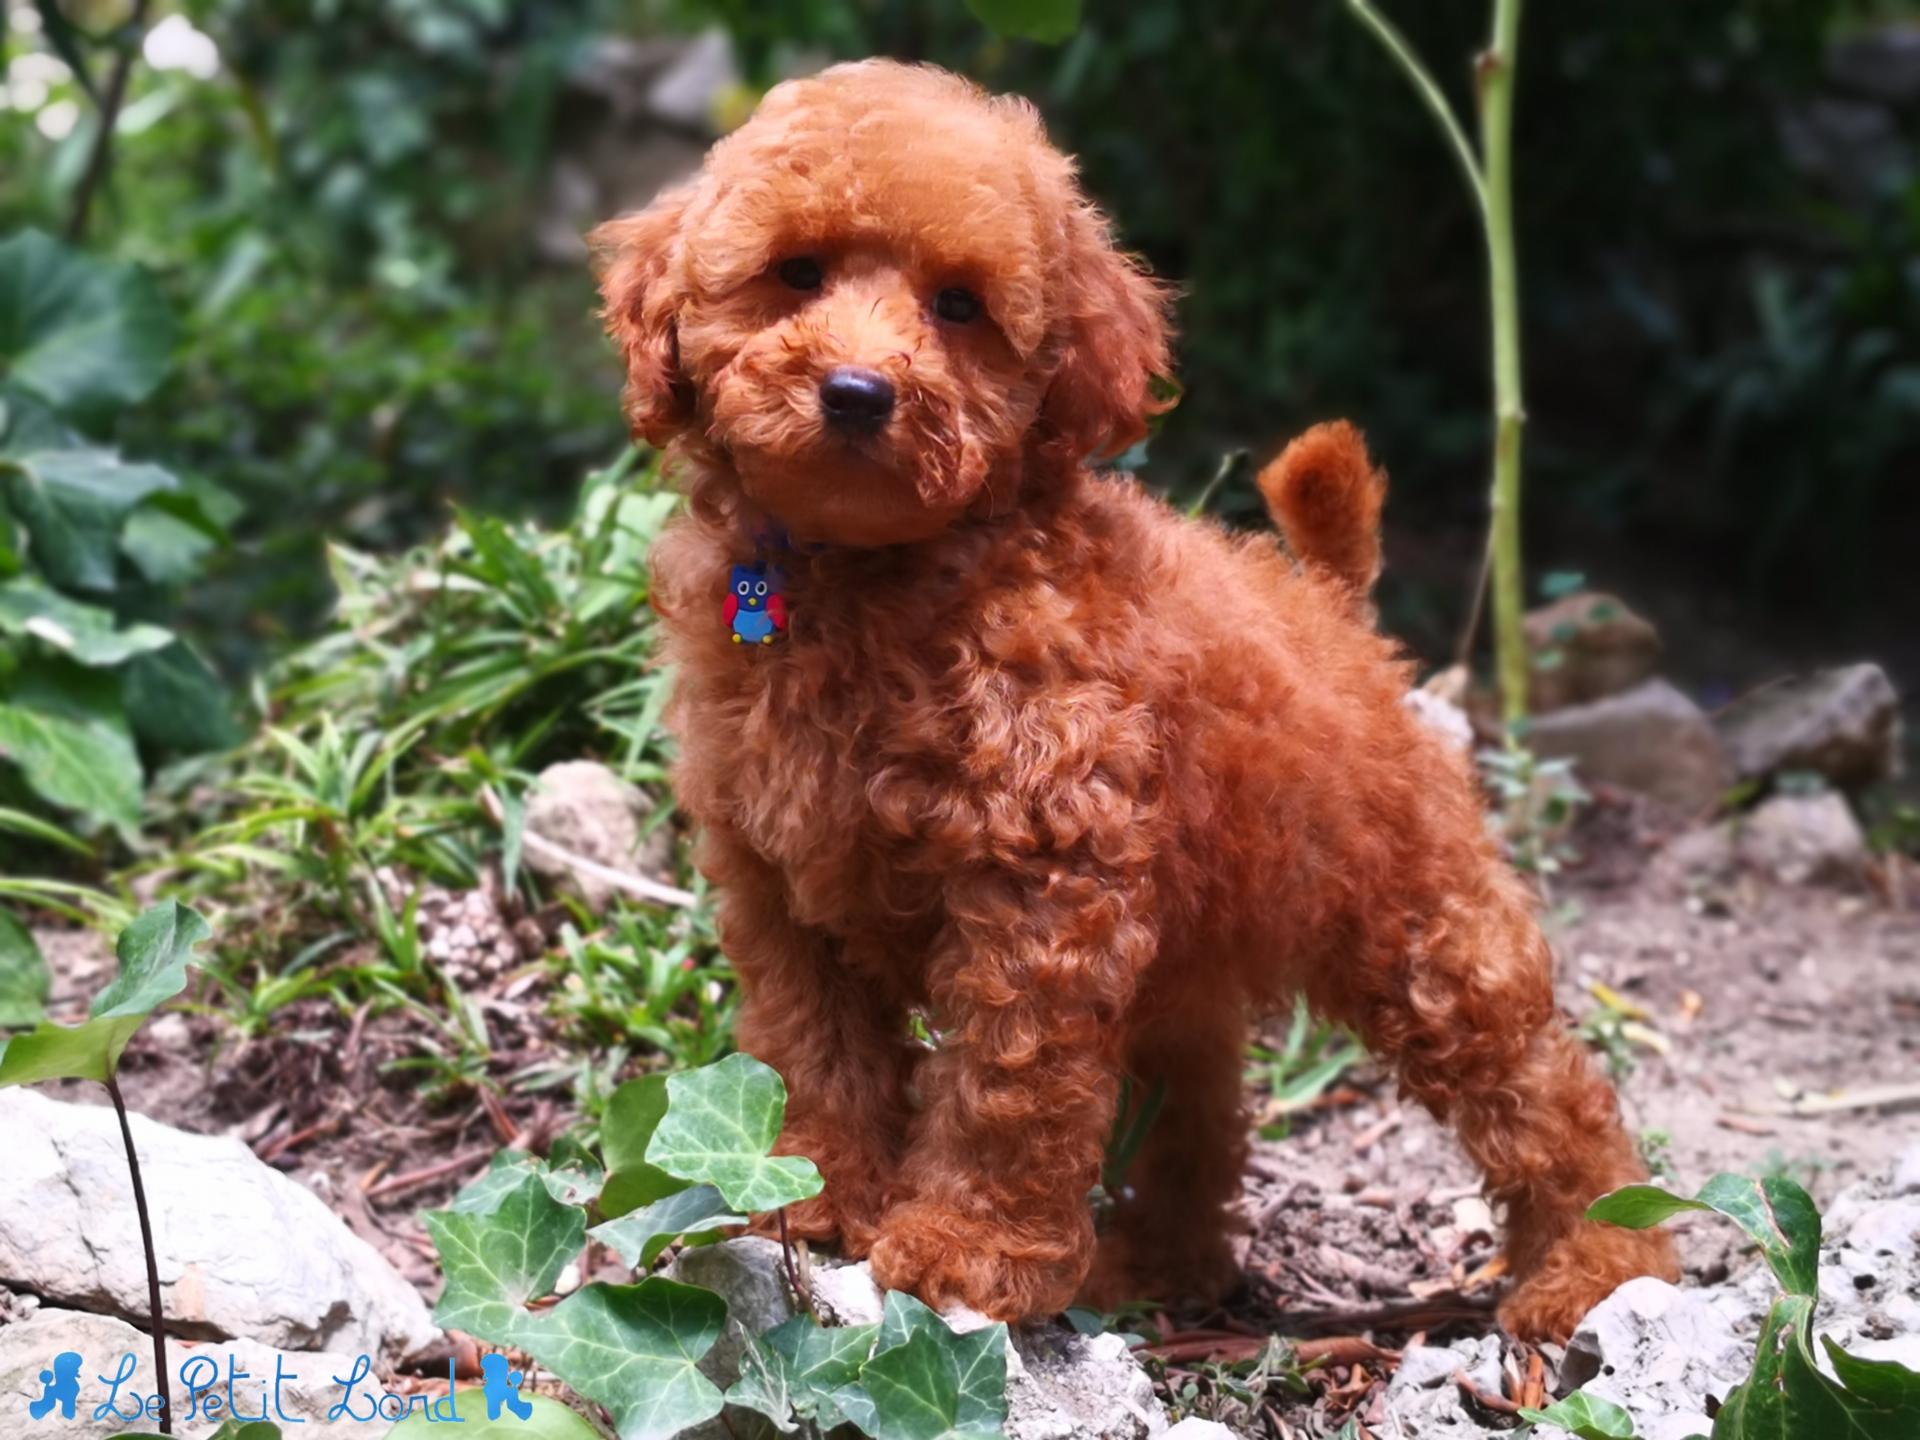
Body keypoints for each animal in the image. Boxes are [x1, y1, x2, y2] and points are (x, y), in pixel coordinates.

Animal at [591, 56, 1674, 1344]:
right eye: (796, 273)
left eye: (959, 307)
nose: (856, 393)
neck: (872, 576)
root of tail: (1333, 616)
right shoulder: (779, 884)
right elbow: (814, 1051)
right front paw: (811, 1197)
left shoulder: (1039, 893)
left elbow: (1007, 1086)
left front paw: (964, 1252)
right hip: (1192, 939)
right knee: (1199, 1092)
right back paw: (1160, 1265)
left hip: (1417, 917)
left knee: (1536, 1079)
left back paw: (1600, 1259)